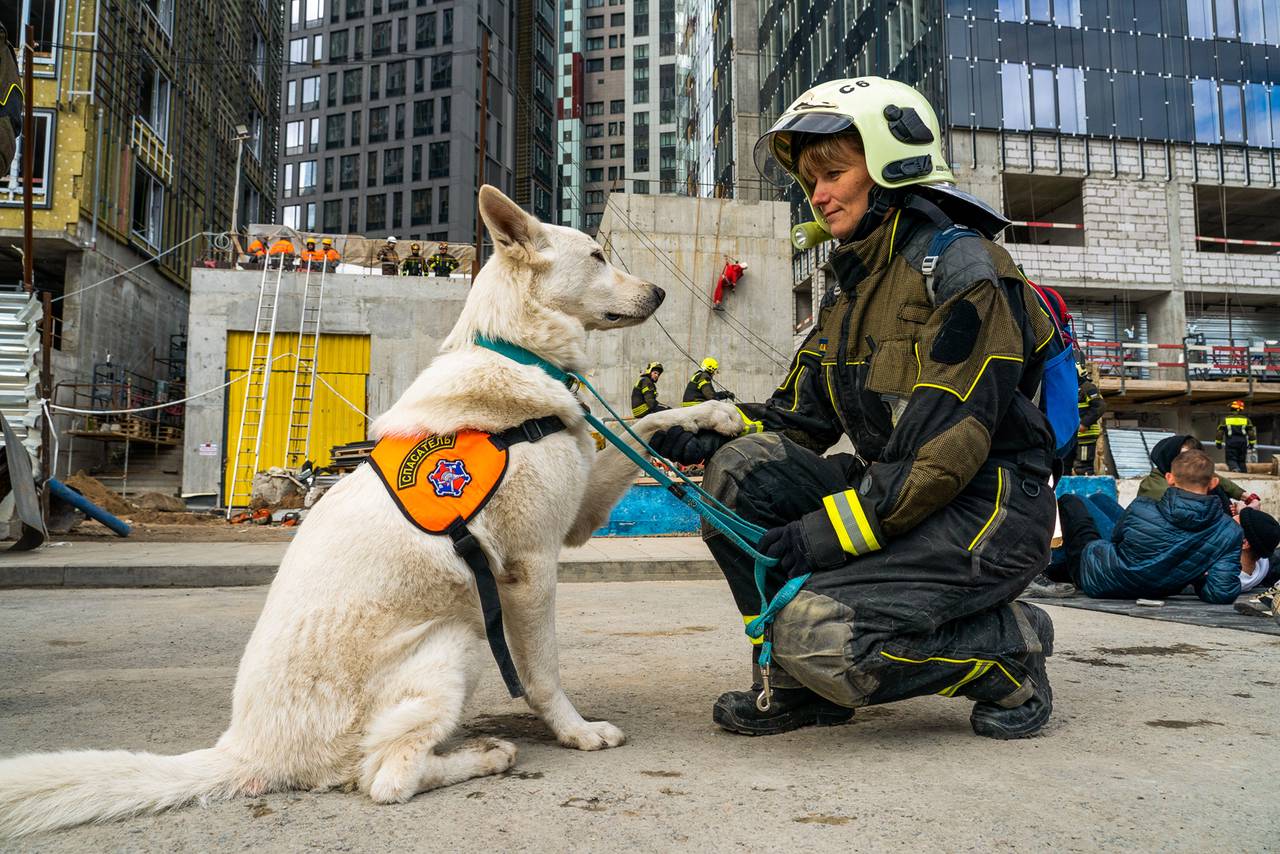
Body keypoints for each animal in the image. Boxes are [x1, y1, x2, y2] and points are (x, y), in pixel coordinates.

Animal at [0, 185, 742, 834]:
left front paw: (717, 416)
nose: (661, 293)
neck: (516, 350)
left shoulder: (581, 513)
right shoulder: (532, 569)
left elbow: (647, 423)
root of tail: (250, 750)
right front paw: (576, 732)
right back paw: (483, 755)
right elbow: (544, 673)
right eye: (595, 255)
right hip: (456, 640)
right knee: (385, 777)